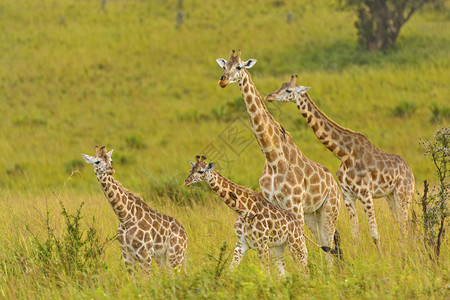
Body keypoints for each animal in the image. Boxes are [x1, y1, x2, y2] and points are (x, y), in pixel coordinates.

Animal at [81, 145, 187, 274]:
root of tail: (185, 234)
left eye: (111, 160)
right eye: (97, 162)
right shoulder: (126, 254)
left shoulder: (144, 253)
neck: (125, 217)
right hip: (163, 257)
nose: (111, 170)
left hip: (175, 255)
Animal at [215, 49, 342, 262]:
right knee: (326, 245)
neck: (273, 157)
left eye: (239, 66)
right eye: (224, 66)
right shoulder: (274, 205)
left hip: (329, 209)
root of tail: (335, 185)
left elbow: (300, 249)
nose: (223, 80)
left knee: (329, 245)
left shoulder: (294, 205)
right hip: (312, 214)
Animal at [266, 75, 416, 248]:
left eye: (289, 90)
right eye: (281, 86)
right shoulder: (348, 195)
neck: (344, 155)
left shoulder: (365, 193)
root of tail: (411, 173)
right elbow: (355, 235)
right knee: (403, 225)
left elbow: (375, 235)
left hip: (402, 193)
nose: (269, 96)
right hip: (390, 196)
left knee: (405, 225)